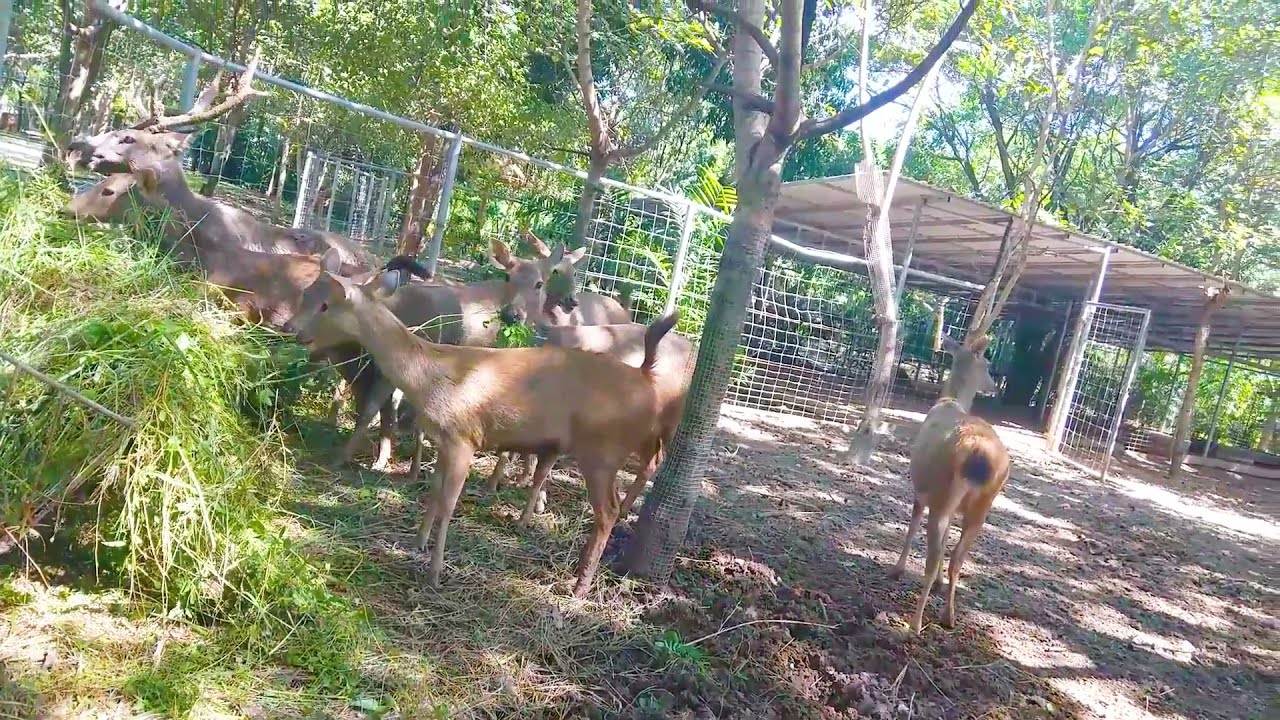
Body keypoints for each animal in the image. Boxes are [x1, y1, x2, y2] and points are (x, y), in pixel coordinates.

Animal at [285, 248, 676, 597]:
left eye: (328, 305)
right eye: (307, 291)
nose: (292, 329)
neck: (433, 378)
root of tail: (647, 383)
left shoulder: (465, 438)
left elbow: (448, 505)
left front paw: (435, 573)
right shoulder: (444, 439)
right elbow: (432, 493)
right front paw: (417, 543)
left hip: (602, 450)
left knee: (608, 509)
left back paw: (578, 586)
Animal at [891, 334, 1010, 633]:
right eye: (987, 364)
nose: (994, 388)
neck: (949, 399)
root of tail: (978, 456)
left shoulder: (922, 491)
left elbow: (913, 526)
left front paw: (897, 569)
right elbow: (946, 541)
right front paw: (939, 585)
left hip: (943, 495)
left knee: (932, 557)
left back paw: (914, 624)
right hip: (982, 504)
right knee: (958, 557)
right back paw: (948, 615)